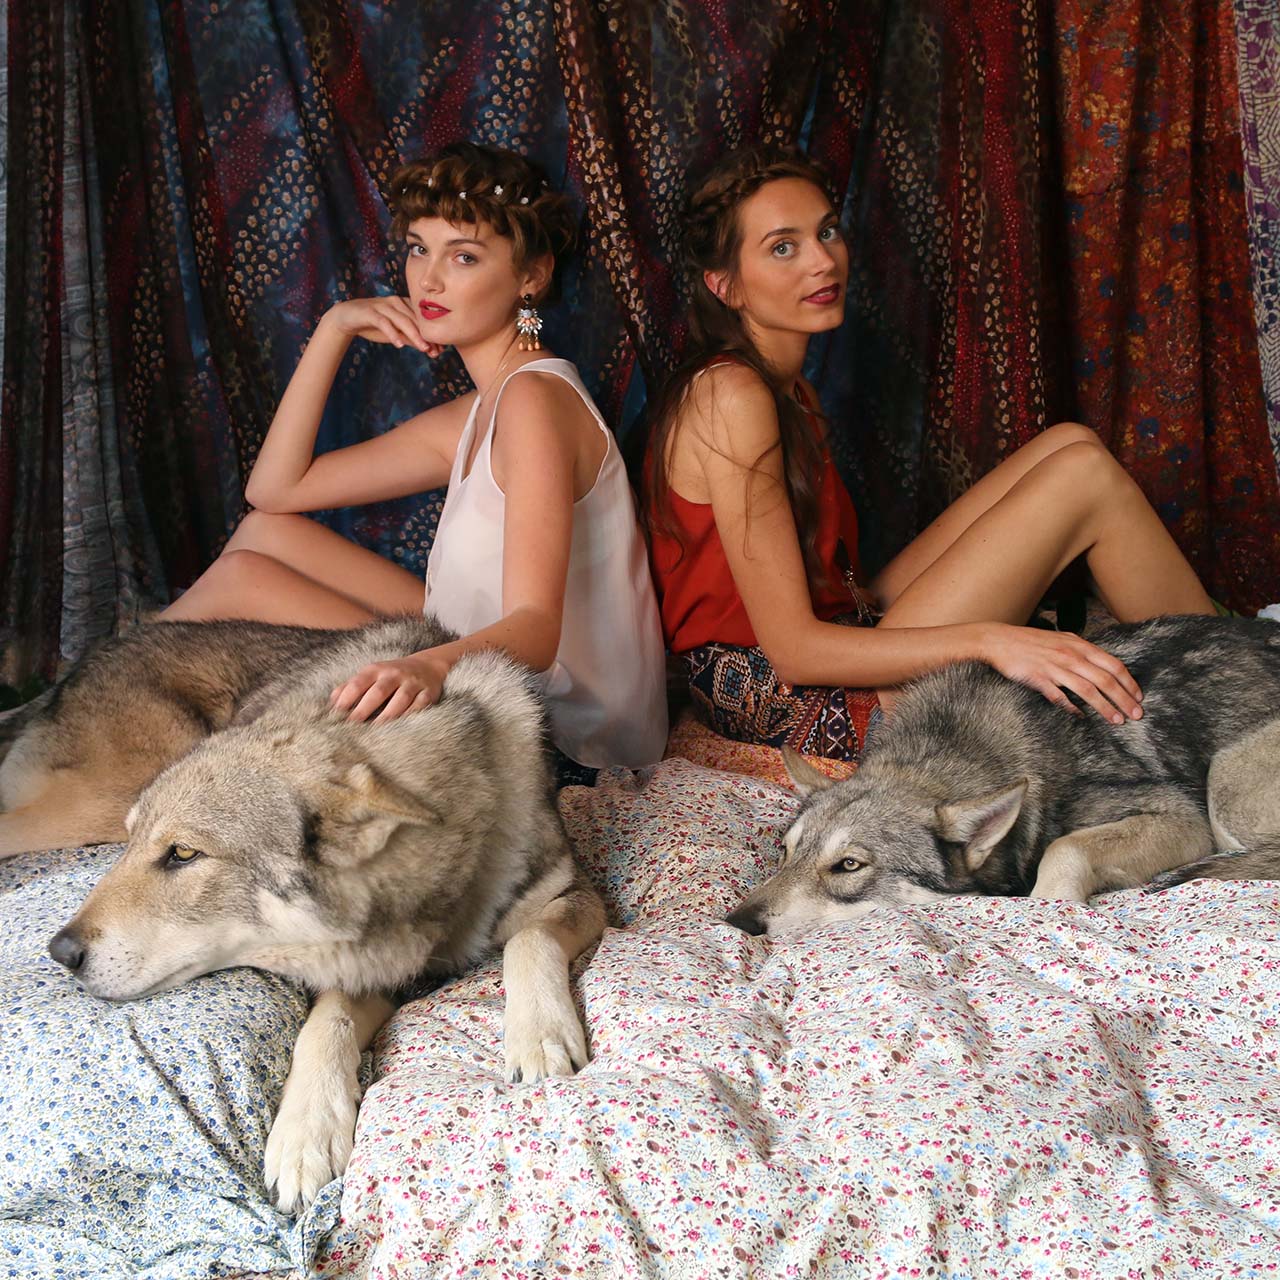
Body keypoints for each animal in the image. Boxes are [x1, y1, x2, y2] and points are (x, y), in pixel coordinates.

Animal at [12, 616, 603, 1213]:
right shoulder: (365, 969)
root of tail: (101, 647)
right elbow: (325, 1024)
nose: (61, 952)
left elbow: (527, 940)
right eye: (136, 846)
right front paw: (305, 1136)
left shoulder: (580, 897)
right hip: (100, 802)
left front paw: (539, 1036)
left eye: (183, 853)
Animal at [727, 615, 1280, 937]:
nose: (736, 924)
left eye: (848, 866)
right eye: (786, 852)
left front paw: (1050, 909)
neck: (951, 747)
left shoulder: (1184, 818)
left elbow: (1064, 849)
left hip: (1222, 790)